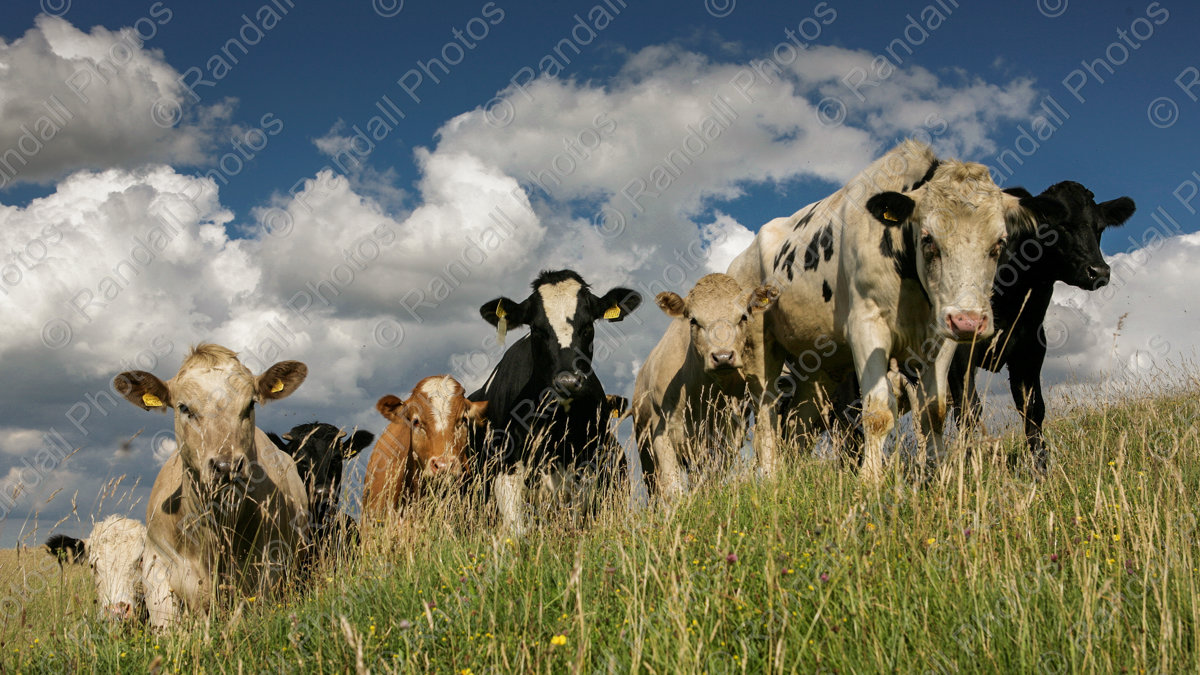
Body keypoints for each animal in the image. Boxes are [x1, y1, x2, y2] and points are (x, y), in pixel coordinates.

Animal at [470, 269, 641, 534]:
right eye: (537, 329)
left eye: (587, 326)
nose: (568, 381)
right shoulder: (506, 471)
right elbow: (516, 531)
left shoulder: (586, 471)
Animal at [633, 273, 780, 498]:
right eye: (694, 320)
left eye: (743, 317)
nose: (723, 356)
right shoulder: (661, 433)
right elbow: (672, 489)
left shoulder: (725, 437)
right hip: (645, 451)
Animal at [726, 139, 1066, 482]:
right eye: (928, 239)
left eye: (999, 243)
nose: (969, 321)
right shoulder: (867, 326)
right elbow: (877, 410)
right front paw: (870, 479)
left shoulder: (942, 339)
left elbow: (934, 412)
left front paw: (936, 474)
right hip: (760, 349)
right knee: (767, 412)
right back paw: (771, 477)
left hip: (814, 365)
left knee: (798, 422)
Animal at [949, 181, 1135, 472]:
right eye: (1058, 225)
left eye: (1100, 227)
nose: (1099, 271)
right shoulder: (958, 353)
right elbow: (968, 409)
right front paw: (967, 469)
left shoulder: (1030, 352)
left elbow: (1033, 410)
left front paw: (1041, 470)